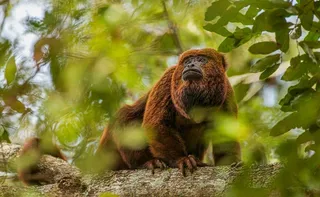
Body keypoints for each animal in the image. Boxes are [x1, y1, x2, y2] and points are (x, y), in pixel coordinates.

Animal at [97, 48, 240, 175]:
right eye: (187, 61)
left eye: (201, 59)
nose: (190, 65)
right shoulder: (169, 76)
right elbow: (156, 124)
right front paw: (181, 159)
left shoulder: (227, 91)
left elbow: (226, 135)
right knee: (124, 115)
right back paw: (147, 163)